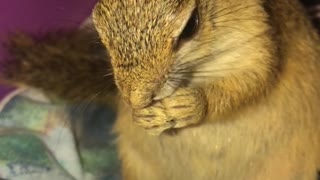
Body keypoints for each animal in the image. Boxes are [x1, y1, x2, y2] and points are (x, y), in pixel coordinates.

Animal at [2, 0, 320, 179]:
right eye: (99, 24)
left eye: (191, 25)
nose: (137, 98)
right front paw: (140, 116)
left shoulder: (259, 43)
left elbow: (253, 82)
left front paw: (190, 105)